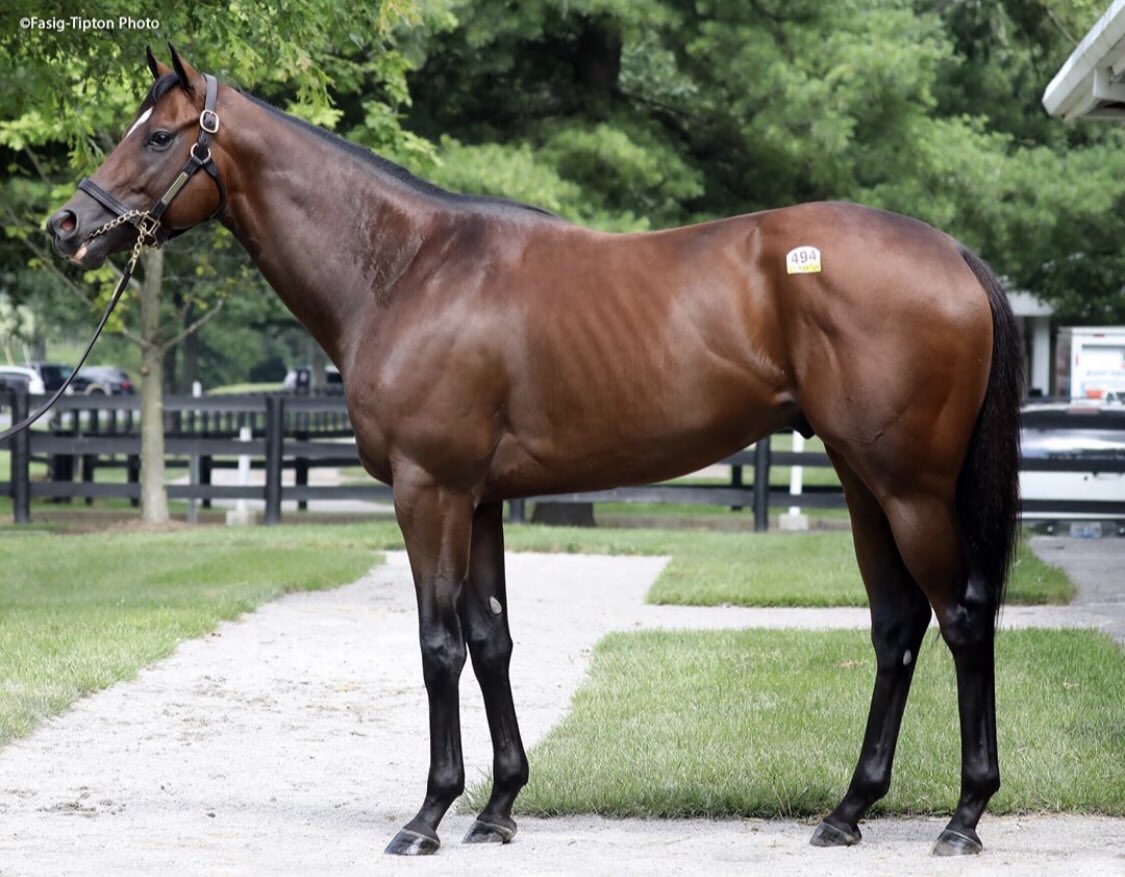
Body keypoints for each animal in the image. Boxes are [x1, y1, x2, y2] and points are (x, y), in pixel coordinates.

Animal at [47, 47, 1021, 858]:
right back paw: (847, 811)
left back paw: (963, 817)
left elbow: (438, 643)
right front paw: (498, 806)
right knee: (895, 625)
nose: (65, 226)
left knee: (962, 618)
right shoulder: (478, 499)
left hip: (909, 489)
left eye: (160, 135)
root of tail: (954, 253)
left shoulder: (428, 491)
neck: (406, 268)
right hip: (862, 483)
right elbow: (491, 639)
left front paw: (428, 815)